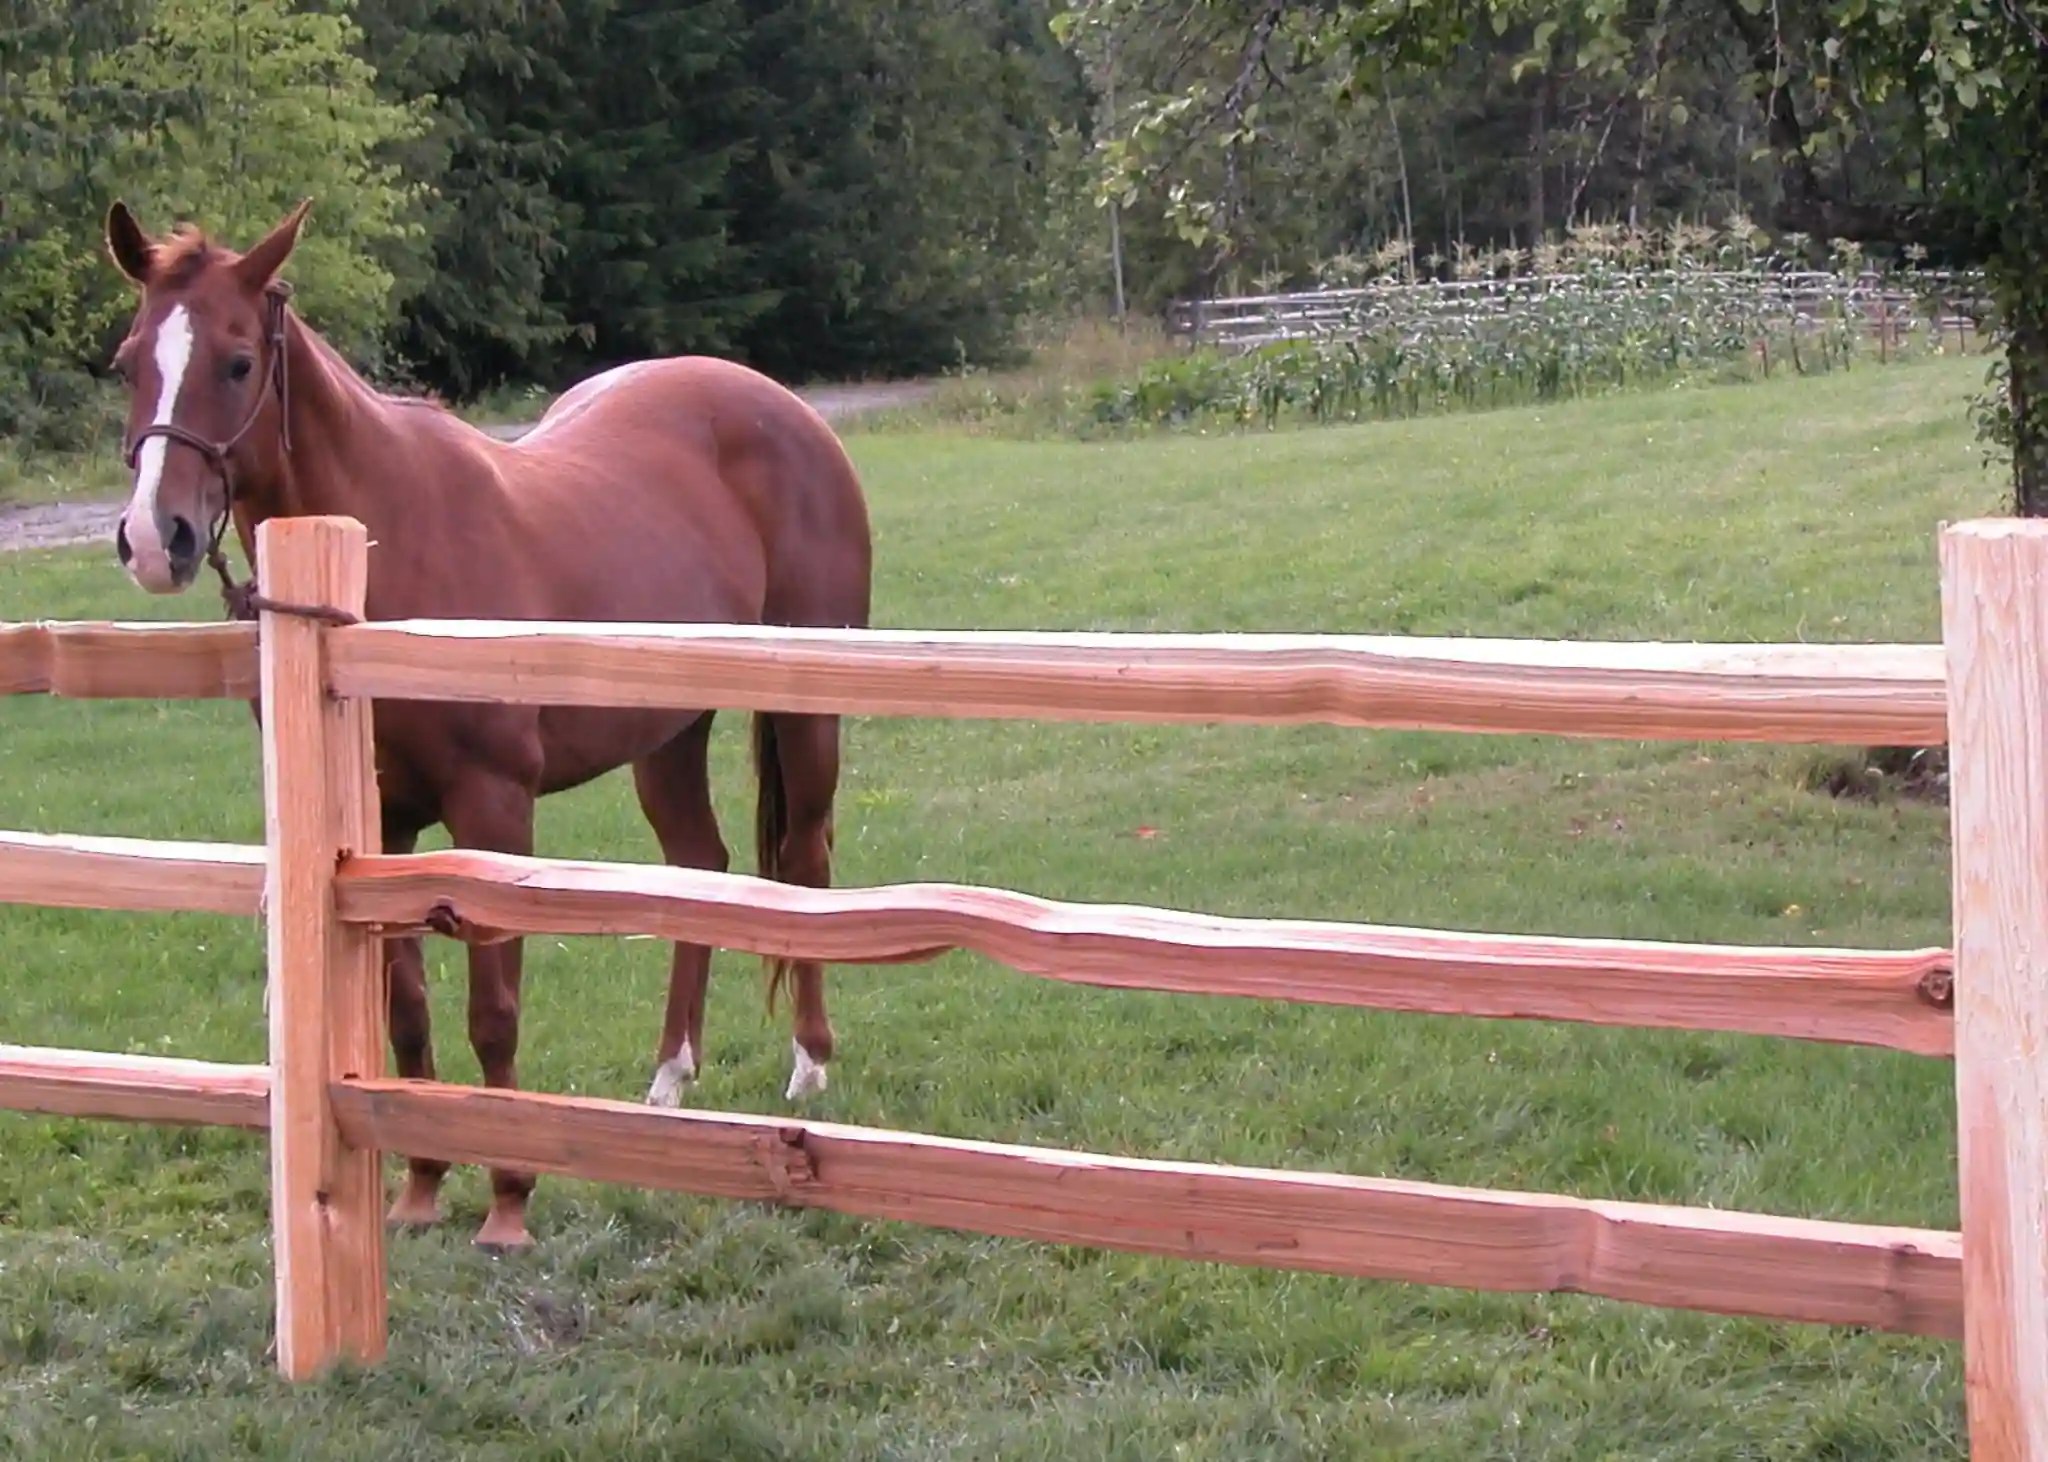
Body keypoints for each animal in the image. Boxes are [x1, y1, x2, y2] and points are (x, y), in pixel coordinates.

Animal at [100, 198, 874, 1250]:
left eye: (236, 361)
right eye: (128, 360)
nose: (155, 538)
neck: (382, 552)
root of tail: (789, 414)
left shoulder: (493, 807)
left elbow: (494, 1012)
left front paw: (509, 1198)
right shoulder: (378, 827)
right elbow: (405, 1010)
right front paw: (420, 1185)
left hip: (805, 710)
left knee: (803, 862)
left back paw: (809, 1064)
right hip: (666, 731)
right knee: (698, 868)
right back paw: (669, 1078)